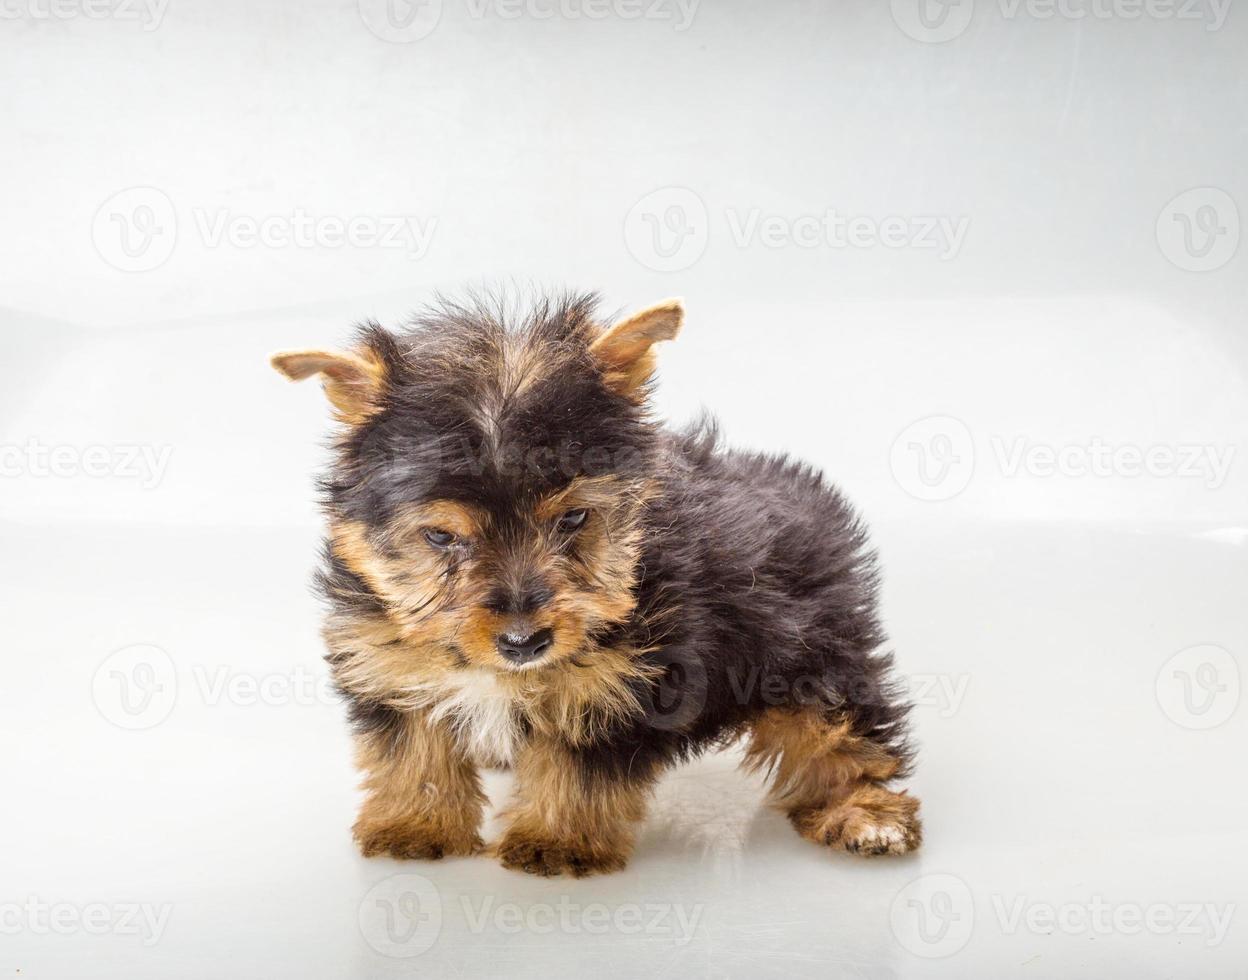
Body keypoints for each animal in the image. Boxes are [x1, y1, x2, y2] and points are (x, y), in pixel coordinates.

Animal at [273, 292, 918, 878]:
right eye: (441, 536)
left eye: (573, 518)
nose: (524, 643)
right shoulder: (393, 665)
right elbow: (416, 748)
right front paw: (417, 824)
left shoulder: (616, 686)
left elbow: (576, 764)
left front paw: (555, 841)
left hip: (810, 645)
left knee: (841, 730)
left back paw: (867, 815)